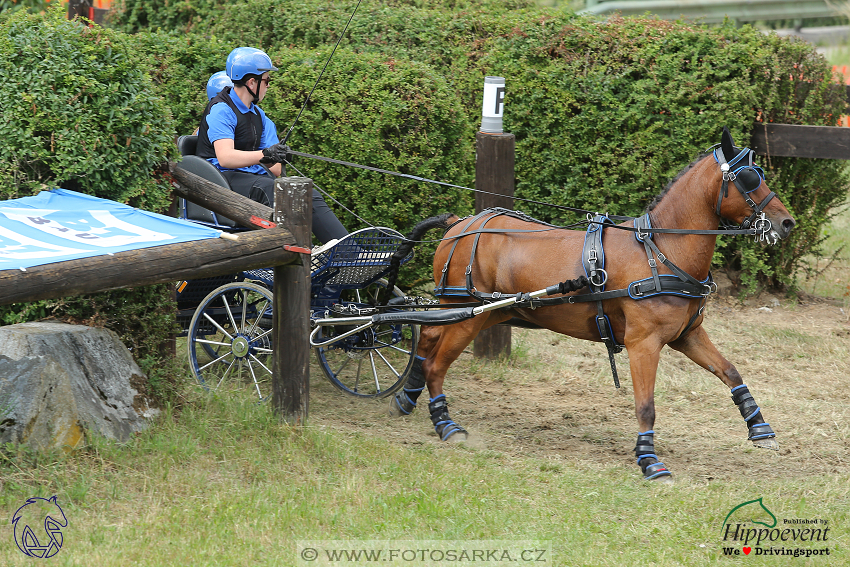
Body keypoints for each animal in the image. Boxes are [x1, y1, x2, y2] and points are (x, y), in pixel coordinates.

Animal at [390, 127, 796, 480]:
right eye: (748, 177)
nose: (787, 222)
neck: (660, 250)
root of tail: (460, 223)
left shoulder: (687, 334)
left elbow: (730, 372)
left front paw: (760, 428)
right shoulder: (643, 343)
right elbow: (646, 405)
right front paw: (649, 460)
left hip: (471, 311)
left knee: (427, 340)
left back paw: (408, 398)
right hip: (469, 317)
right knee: (437, 365)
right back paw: (445, 423)